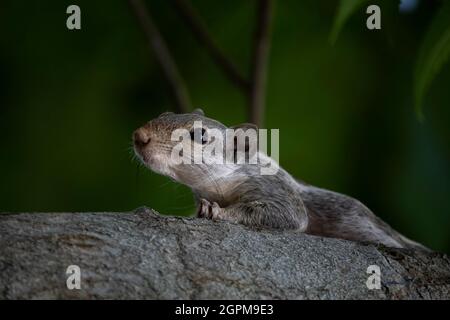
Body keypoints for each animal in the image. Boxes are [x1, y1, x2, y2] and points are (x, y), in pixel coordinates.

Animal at [133, 109, 426, 250]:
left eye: (200, 136)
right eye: (164, 114)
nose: (139, 136)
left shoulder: (275, 187)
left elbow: (288, 215)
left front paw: (218, 211)